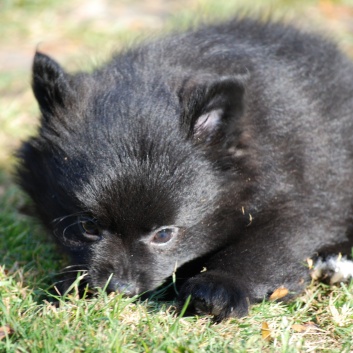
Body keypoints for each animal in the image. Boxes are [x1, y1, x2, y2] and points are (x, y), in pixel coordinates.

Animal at [15, 17, 352, 320]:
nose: (120, 288)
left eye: (164, 235)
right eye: (87, 227)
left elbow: (262, 249)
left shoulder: (299, 203)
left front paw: (218, 287)